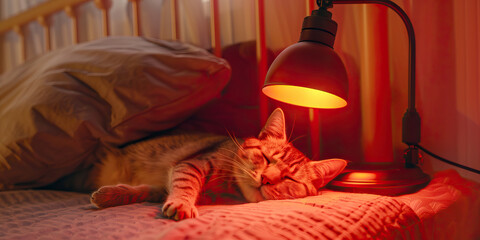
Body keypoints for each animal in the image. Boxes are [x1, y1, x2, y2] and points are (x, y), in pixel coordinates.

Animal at [82, 108, 344, 220]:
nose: (266, 179)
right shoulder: (190, 165)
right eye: (267, 158)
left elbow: (144, 191)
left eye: (290, 178)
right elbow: (184, 186)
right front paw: (182, 203)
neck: (227, 189)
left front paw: (110, 194)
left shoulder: (166, 182)